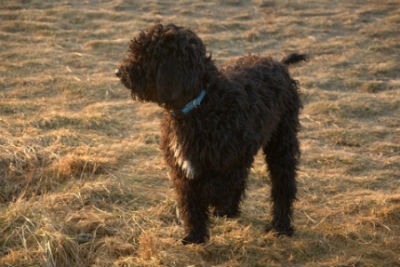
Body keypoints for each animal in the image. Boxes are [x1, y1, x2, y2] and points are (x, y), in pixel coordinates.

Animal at [115, 24, 306, 246]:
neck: (200, 105)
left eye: (146, 54)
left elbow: (216, 188)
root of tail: (279, 64)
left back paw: (281, 226)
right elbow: (191, 202)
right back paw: (230, 211)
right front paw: (194, 236)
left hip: (282, 140)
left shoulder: (225, 160)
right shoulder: (183, 168)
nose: (119, 72)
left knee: (283, 182)